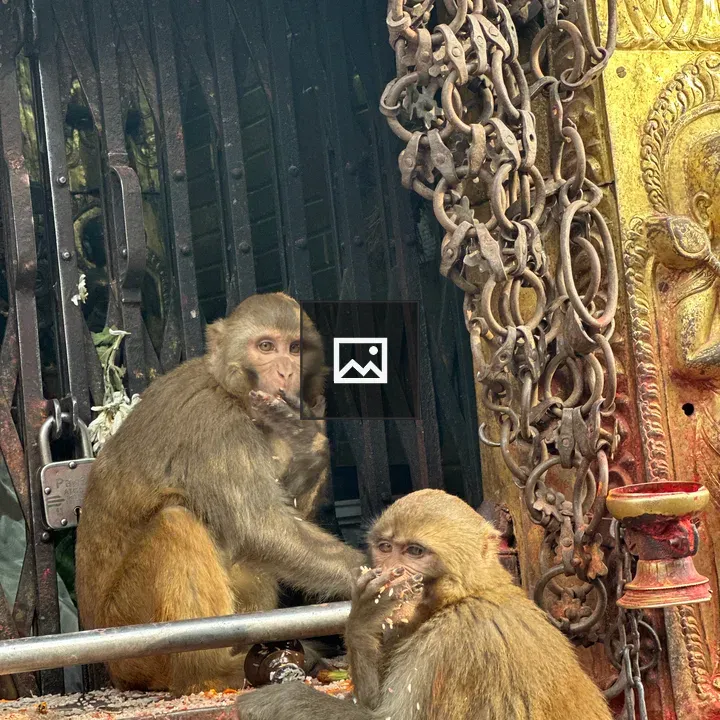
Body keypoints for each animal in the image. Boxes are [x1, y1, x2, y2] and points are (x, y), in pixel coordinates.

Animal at [75, 292, 365, 696]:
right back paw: (206, 671)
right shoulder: (214, 426)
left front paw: (307, 448)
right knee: (176, 522)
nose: (286, 373)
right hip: (130, 632)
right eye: (265, 346)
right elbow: (262, 527)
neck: (228, 389)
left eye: (295, 348)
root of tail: (115, 672)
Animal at [235, 489, 612, 720]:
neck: (459, 598)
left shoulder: (451, 643)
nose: (391, 572)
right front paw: (362, 619)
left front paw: (278, 700)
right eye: (385, 547)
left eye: (414, 551)